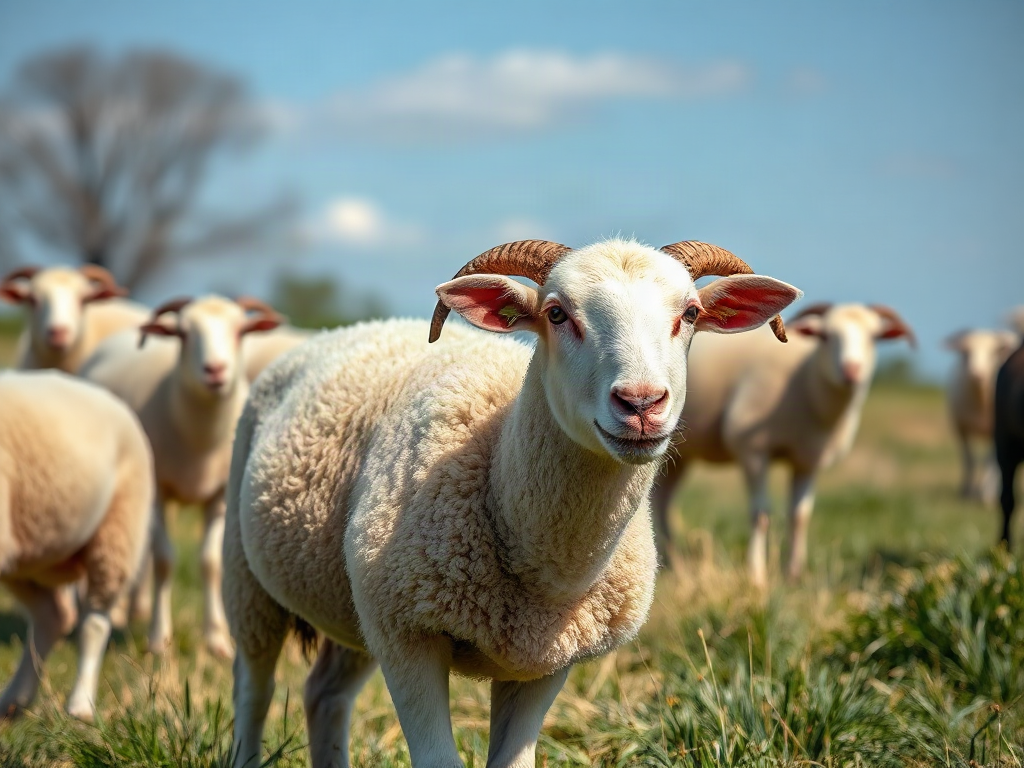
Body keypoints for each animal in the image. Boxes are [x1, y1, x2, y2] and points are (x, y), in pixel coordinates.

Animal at [0, 370, 152, 721]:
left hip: (117, 536)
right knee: (53, 617)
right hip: (27, 558)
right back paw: (14, 700)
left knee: (93, 624)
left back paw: (80, 706)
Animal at [79, 295, 282, 659]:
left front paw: (217, 640)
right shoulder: (158, 489)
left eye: (240, 331)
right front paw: (159, 640)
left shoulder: (220, 495)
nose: (215, 371)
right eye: (183, 333)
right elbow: (164, 561)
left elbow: (210, 563)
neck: (201, 441)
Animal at [222, 238, 801, 768]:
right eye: (556, 313)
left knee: (324, 695)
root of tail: (352, 327)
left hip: (354, 606)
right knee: (253, 689)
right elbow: (439, 761)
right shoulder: (409, 638)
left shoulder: (546, 663)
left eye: (691, 314)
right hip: (249, 576)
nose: (641, 404)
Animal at [652, 302, 915, 587]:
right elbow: (760, 515)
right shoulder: (753, 450)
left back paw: (674, 564)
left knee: (662, 502)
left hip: (681, 457)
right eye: (825, 336)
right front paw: (756, 575)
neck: (806, 381)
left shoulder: (808, 461)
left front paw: (794, 575)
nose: (851, 371)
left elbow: (800, 516)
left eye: (874, 337)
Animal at [944, 329, 1019, 503]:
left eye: (992, 353)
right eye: (966, 353)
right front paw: (965, 492)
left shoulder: (997, 431)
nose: (977, 374)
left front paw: (987, 495)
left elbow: (991, 463)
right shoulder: (961, 427)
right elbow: (969, 460)